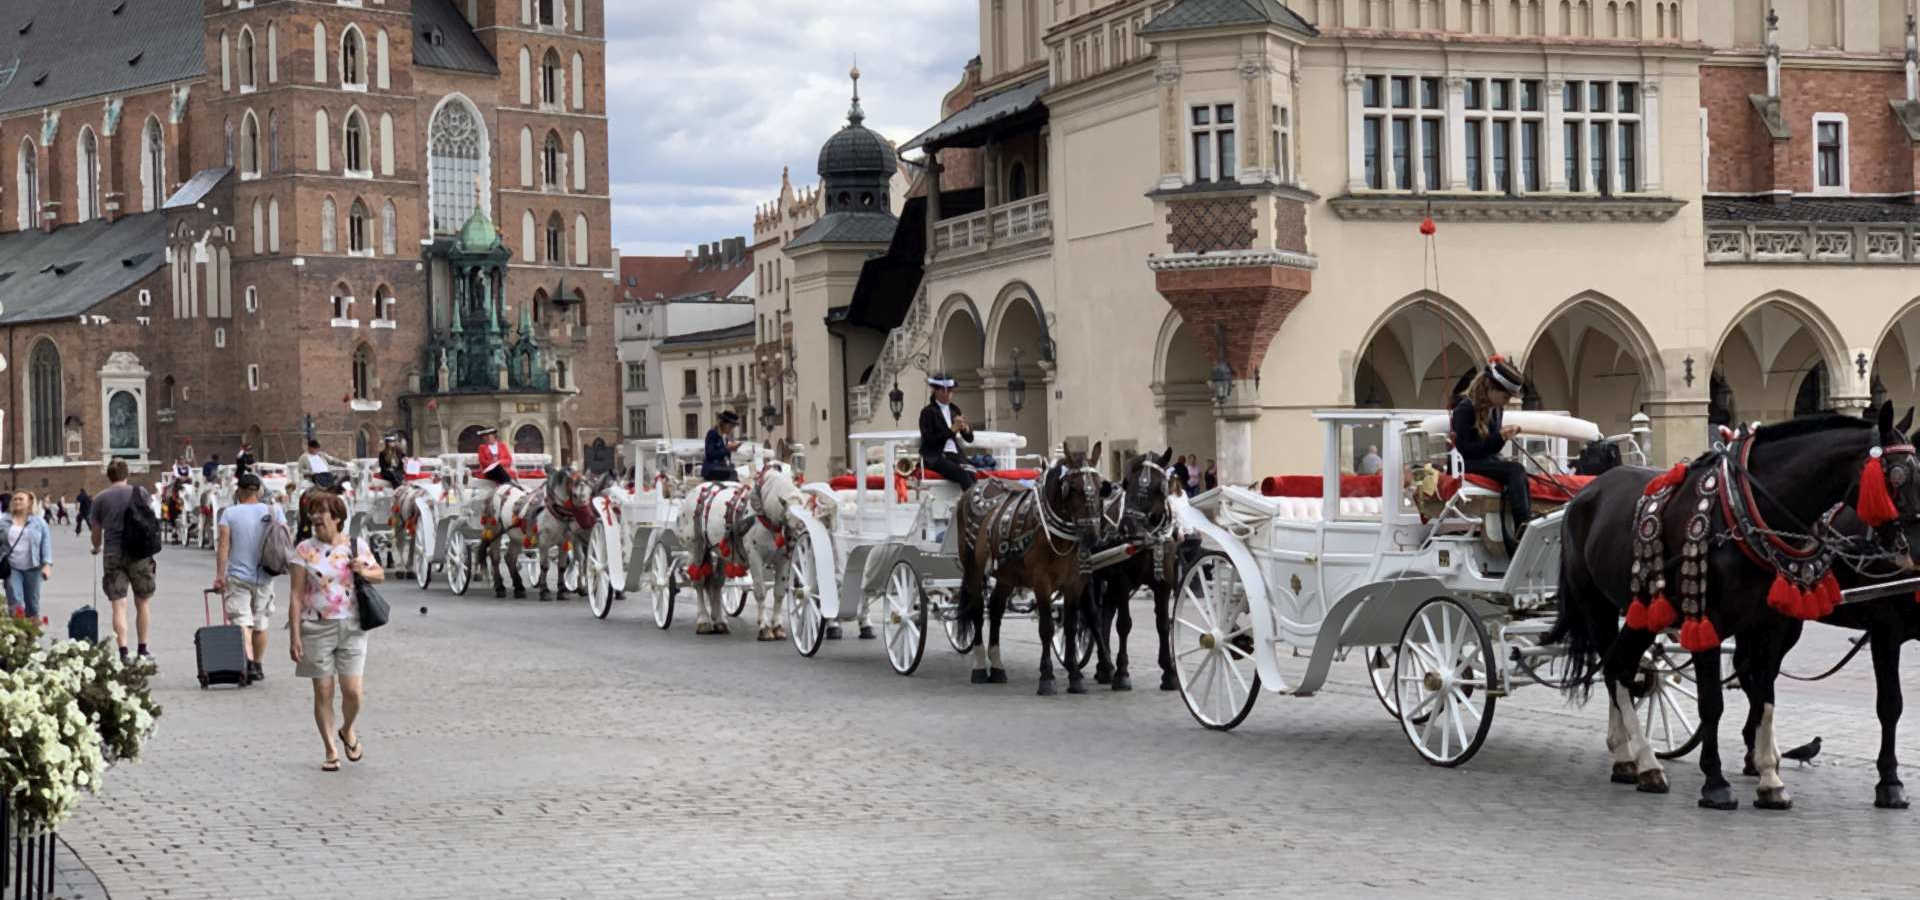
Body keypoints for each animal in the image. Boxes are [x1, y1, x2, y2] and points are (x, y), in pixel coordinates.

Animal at [952, 443, 1105, 694]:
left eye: (1101, 486)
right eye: (1072, 488)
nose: (1093, 535)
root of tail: (977, 485)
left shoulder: (1075, 583)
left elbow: (1070, 628)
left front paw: (1075, 676)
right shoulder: (1041, 582)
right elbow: (1046, 628)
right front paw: (1047, 678)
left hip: (1006, 575)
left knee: (995, 609)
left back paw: (997, 667)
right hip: (972, 567)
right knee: (977, 610)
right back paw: (979, 667)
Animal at [1543, 402, 1920, 809]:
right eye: (1898, 476)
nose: (1913, 552)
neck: (1740, 511)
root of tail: (1586, 493)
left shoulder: (1769, 624)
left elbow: (1767, 696)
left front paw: (1771, 782)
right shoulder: (1706, 619)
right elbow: (1712, 703)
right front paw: (1715, 783)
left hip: (1646, 610)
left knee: (1622, 667)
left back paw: (1633, 760)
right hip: (1596, 604)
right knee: (1615, 670)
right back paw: (1643, 761)